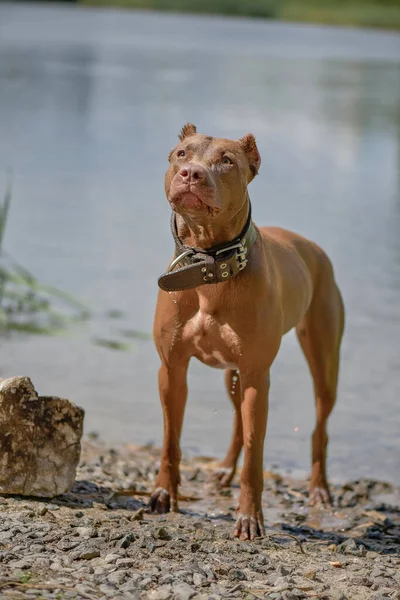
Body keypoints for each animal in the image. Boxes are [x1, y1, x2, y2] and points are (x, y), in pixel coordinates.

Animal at [150, 124, 344, 540]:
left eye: (227, 161)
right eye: (181, 154)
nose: (191, 173)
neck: (209, 265)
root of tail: (313, 247)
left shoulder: (258, 374)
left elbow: (256, 455)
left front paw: (249, 517)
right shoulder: (172, 369)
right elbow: (170, 439)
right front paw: (163, 494)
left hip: (322, 363)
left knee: (319, 427)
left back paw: (319, 489)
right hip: (233, 374)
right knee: (239, 420)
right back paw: (224, 469)